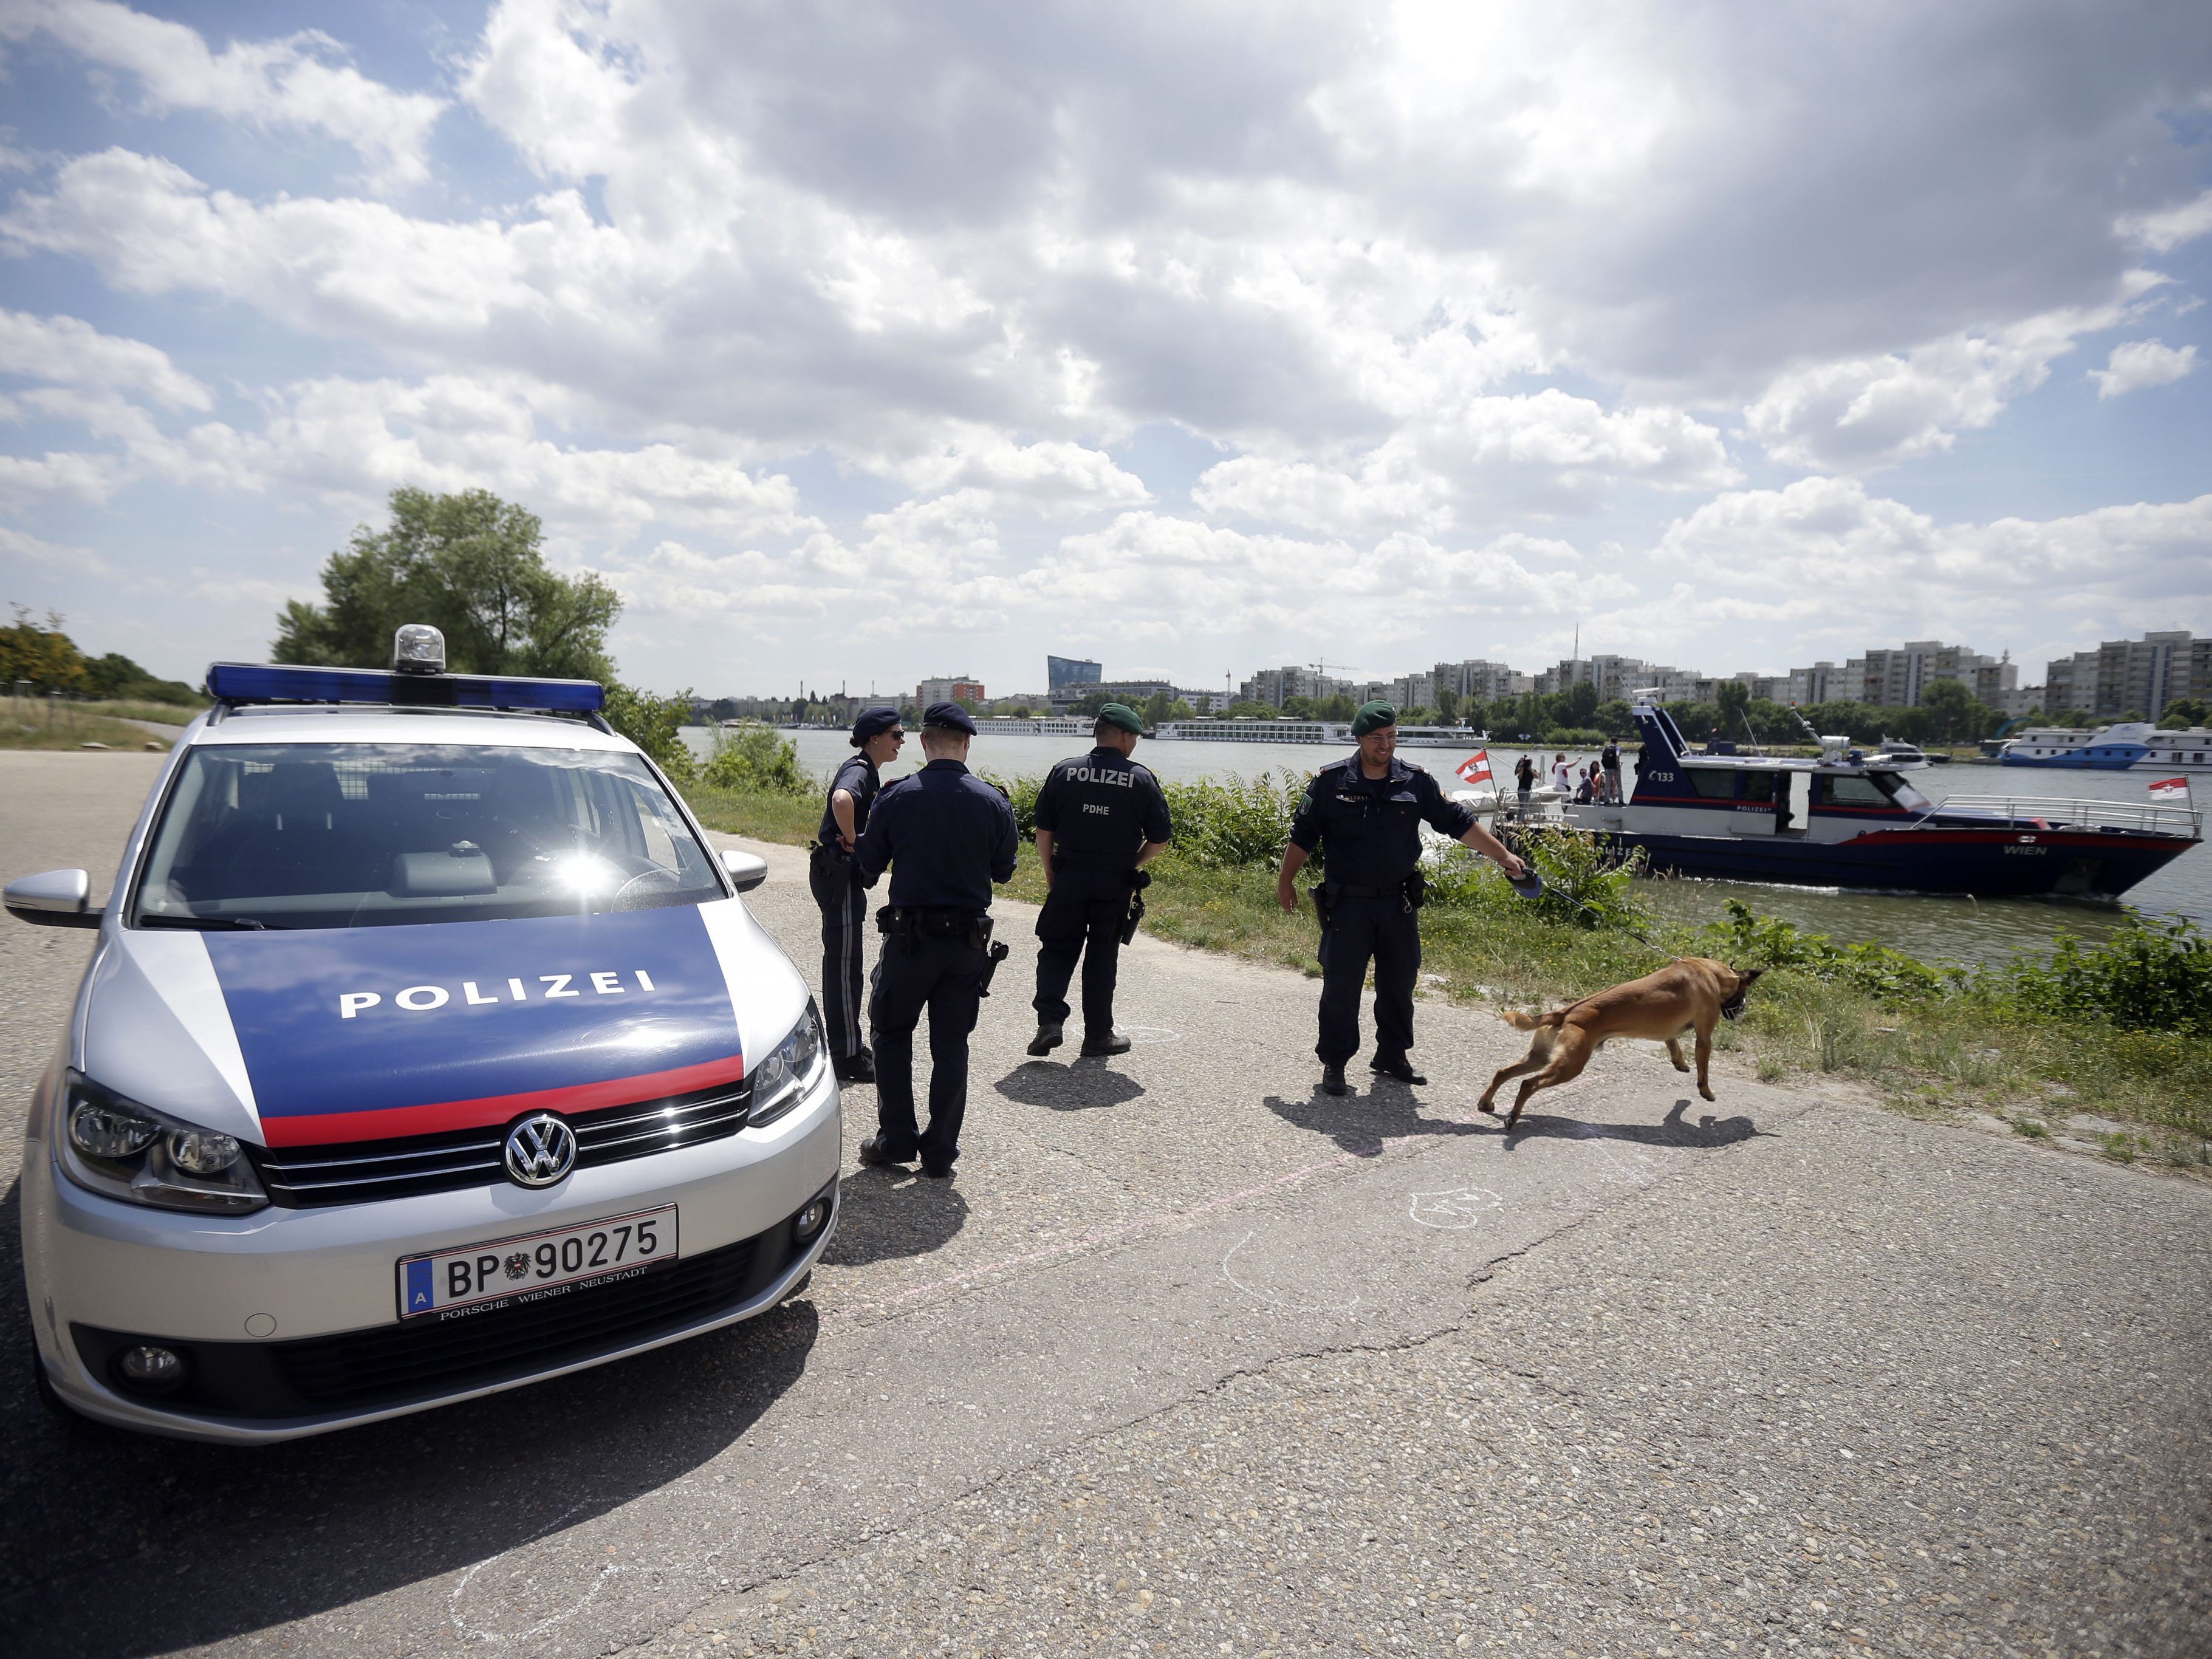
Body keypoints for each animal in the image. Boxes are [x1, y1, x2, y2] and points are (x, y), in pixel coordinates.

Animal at [1478, 960, 1769, 1132]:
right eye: (1744, 994)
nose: (1742, 1012)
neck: (1710, 974)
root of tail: (1563, 1013)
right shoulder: (1704, 1036)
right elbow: (1704, 1069)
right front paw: (1706, 1092)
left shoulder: (1668, 1030)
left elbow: (1673, 1043)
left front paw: (1680, 1063)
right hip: (1570, 1066)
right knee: (1529, 1084)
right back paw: (1513, 1116)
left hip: (1540, 1057)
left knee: (1503, 1073)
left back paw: (1487, 1103)